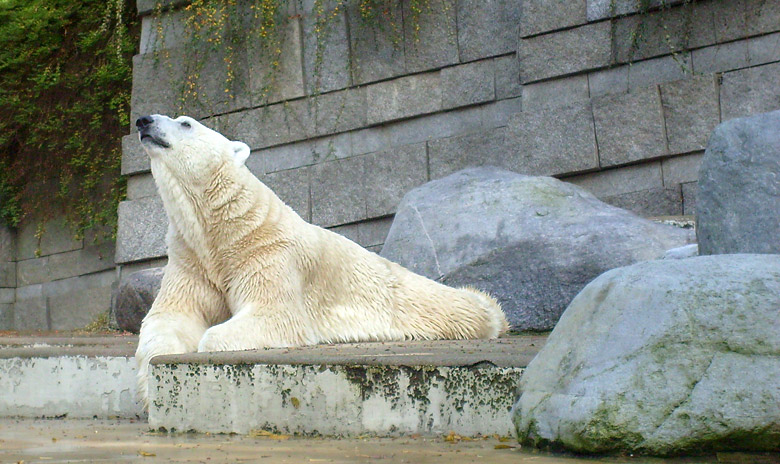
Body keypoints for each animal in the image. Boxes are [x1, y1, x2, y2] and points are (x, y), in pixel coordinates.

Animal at [134, 115, 512, 402]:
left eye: (186, 123)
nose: (144, 120)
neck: (224, 229)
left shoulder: (266, 253)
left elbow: (273, 316)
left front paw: (204, 343)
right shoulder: (192, 260)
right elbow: (169, 316)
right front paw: (151, 381)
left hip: (412, 299)